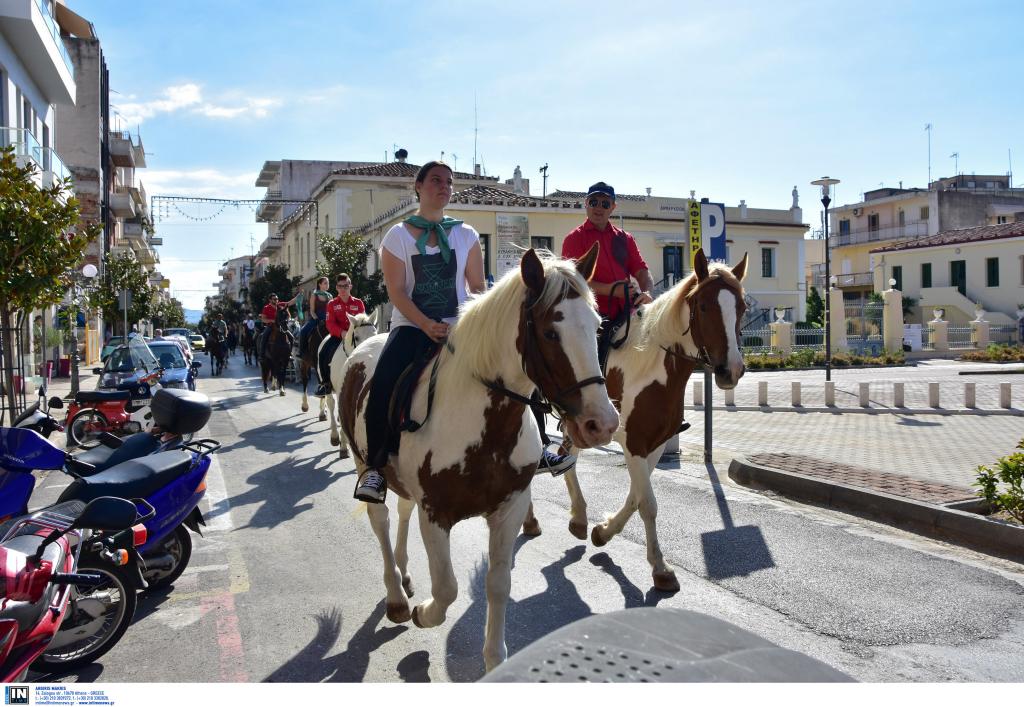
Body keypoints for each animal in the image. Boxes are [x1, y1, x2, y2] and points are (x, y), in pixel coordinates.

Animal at [323, 309, 376, 456]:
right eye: (356, 337)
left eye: (374, 333)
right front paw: (342, 445)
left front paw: (344, 443)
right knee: (331, 404)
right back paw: (335, 436)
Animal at [339, 244, 618, 668]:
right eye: (550, 332)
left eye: (598, 326)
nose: (602, 423)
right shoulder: (435, 515)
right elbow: (447, 589)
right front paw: (423, 612)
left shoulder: (509, 508)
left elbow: (498, 584)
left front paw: (493, 658)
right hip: (364, 463)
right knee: (381, 520)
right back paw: (397, 596)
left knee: (401, 511)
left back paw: (403, 572)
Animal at [524, 247, 749, 590]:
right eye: (704, 306)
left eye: (742, 307)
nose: (731, 370)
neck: (653, 366)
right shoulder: (634, 443)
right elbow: (648, 504)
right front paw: (660, 567)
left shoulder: (653, 446)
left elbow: (636, 497)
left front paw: (604, 531)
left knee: (567, 455)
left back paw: (579, 518)